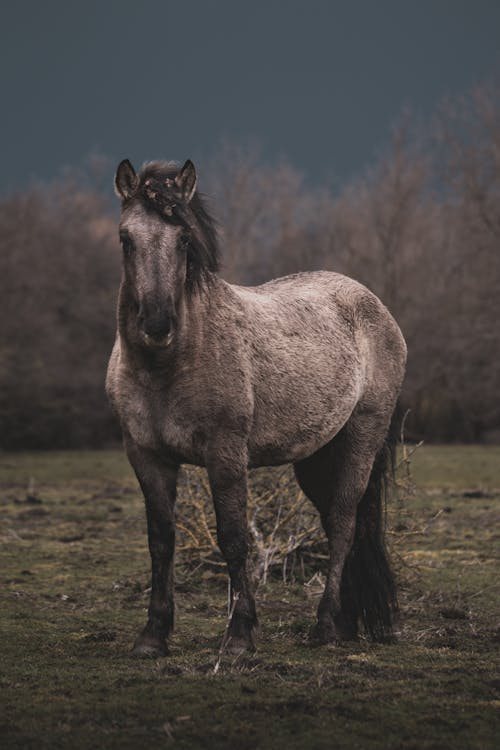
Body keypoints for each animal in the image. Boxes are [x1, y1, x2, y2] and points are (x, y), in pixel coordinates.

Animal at [105, 157, 406, 656]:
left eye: (184, 239)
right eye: (126, 238)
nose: (158, 323)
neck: (169, 363)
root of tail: (372, 304)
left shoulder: (226, 454)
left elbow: (233, 537)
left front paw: (240, 635)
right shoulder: (146, 456)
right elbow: (161, 541)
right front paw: (153, 635)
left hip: (362, 438)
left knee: (344, 523)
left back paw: (325, 626)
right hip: (316, 455)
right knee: (335, 523)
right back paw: (344, 624)